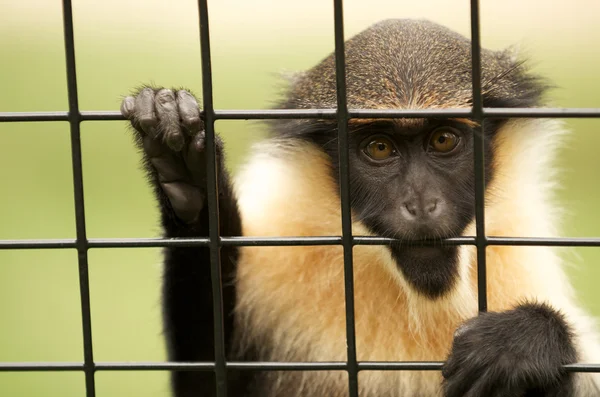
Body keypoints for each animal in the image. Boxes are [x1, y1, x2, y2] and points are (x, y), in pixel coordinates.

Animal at [120, 18, 600, 396]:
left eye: (443, 139)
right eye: (380, 147)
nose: (420, 203)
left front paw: (523, 341)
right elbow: (208, 384)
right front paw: (186, 173)